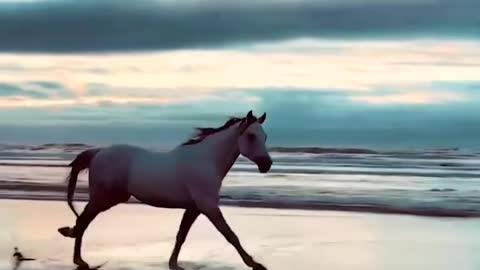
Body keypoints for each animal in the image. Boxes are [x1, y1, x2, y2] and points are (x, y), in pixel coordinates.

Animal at [58, 110, 272, 268]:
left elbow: (181, 235)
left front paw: (173, 263)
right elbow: (230, 234)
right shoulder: (209, 207)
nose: (267, 164)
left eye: (265, 136)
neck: (206, 160)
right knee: (83, 221)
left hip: (111, 198)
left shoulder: (194, 208)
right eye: (251, 136)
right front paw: (254, 263)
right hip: (104, 197)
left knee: (83, 221)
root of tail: (99, 151)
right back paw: (78, 258)